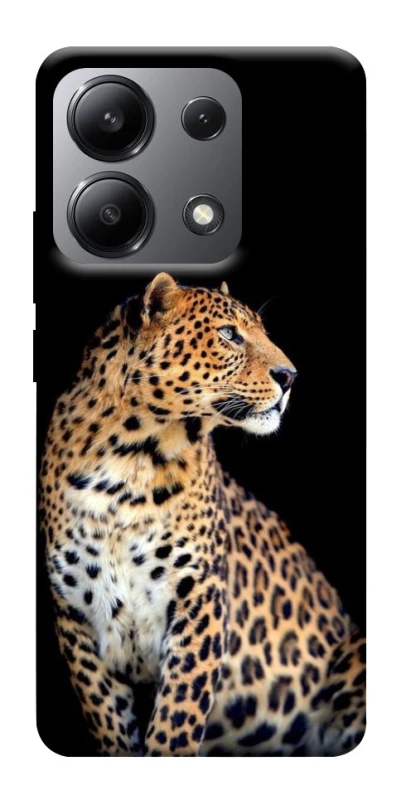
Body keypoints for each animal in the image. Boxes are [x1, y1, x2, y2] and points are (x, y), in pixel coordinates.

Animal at [39, 272, 366, 757]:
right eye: (229, 334)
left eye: (262, 331)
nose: (290, 376)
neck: (129, 460)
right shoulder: (76, 616)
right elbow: (110, 722)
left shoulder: (200, 596)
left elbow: (177, 717)